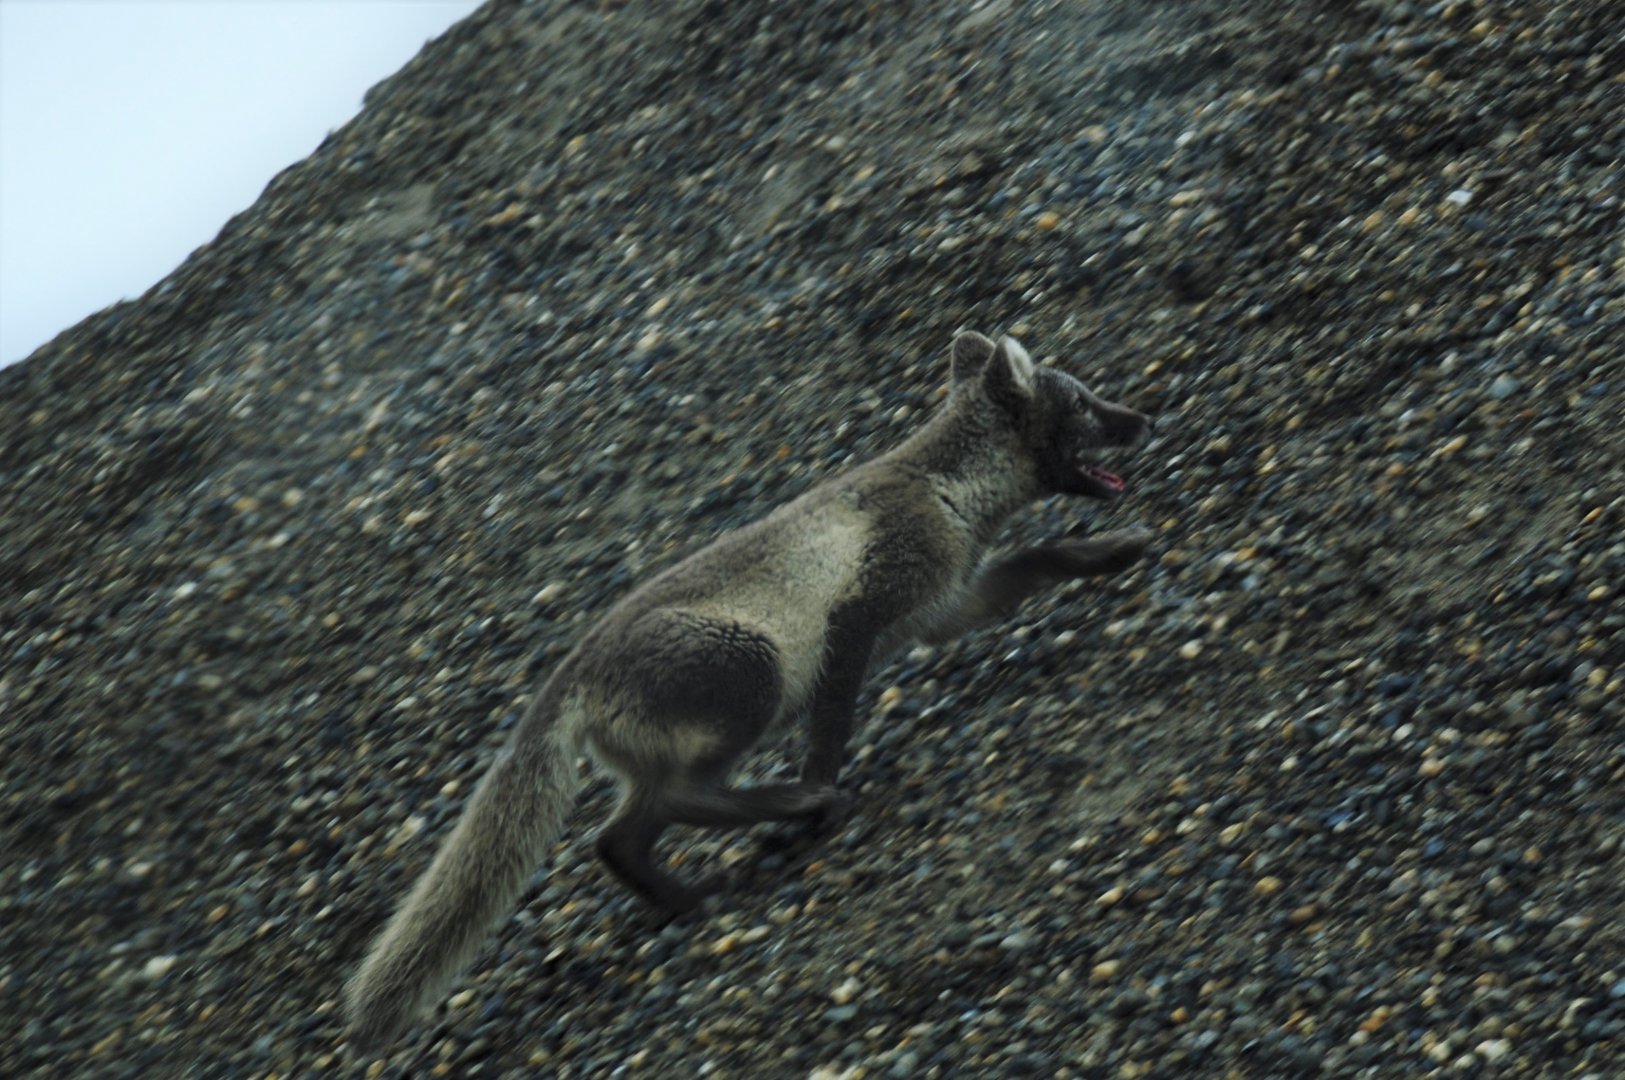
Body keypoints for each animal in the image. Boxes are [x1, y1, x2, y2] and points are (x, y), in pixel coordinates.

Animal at [344, 330, 1154, 1048]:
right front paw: (822, 796)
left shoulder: (944, 607)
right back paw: (797, 805)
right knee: (670, 806)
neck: (943, 491)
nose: (1143, 419)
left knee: (619, 838)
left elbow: (1040, 560)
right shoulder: (855, 622)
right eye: (1083, 402)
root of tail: (567, 675)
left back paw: (688, 897)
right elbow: (831, 727)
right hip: (753, 674)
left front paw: (1111, 551)